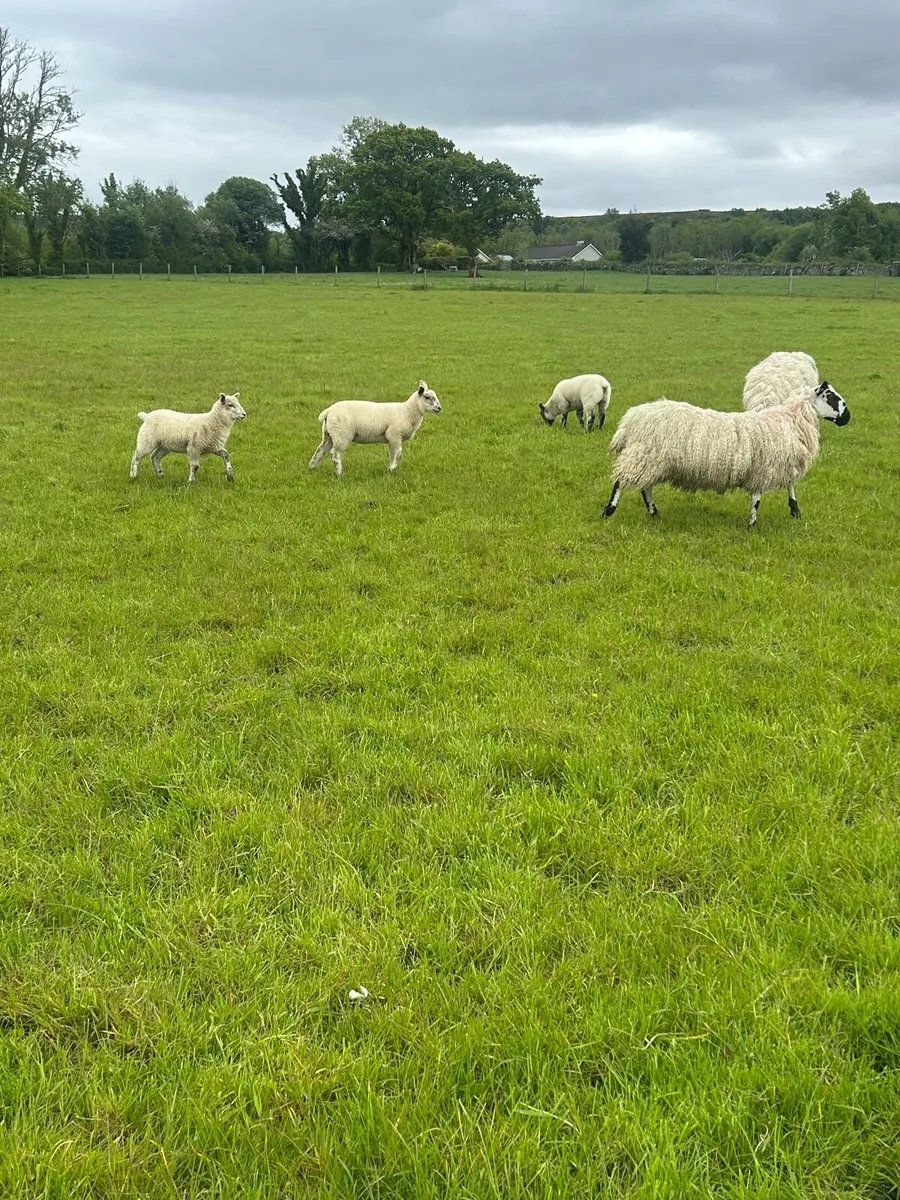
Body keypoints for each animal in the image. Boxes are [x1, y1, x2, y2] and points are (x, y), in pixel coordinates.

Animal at [309, 380, 442, 476]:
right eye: (428, 397)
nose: (439, 408)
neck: (407, 411)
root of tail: (328, 411)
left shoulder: (392, 438)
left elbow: (393, 454)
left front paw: (391, 470)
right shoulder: (394, 434)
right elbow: (397, 454)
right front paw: (392, 469)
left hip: (329, 434)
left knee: (320, 450)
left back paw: (312, 468)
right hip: (341, 434)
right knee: (335, 455)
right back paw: (340, 474)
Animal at [601, 382, 850, 527]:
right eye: (832, 397)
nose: (848, 418)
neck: (790, 419)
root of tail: (631, 418)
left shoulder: (781, 463)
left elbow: (790, 485)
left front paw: (795, 510)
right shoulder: (764, 469)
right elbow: (757, 498)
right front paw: (752, 524)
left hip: (650, 459)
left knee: (645, 487)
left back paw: (654, 512)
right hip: (645, 455)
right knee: (621, 482)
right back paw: (608, 511)